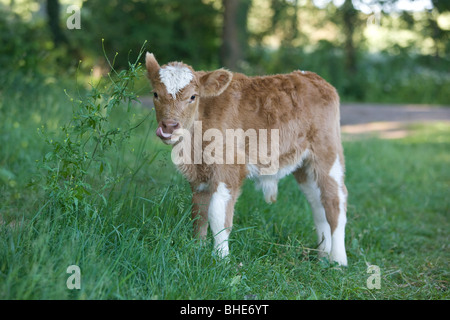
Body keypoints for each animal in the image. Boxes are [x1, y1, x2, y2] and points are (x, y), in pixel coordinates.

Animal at [145, 52, 348, 266]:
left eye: (193, 96)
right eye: (155, 94)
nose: (169, 126)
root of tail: (310, 76)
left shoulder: (229, 168)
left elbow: (218, 215)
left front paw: (221, 259)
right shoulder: (199, 175)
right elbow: (199, 212)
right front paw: (196, 250)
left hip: (327, 153)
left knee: (335, 201)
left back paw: (338, 260)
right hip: (304, 165)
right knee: (318, 204)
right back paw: (323, 255)